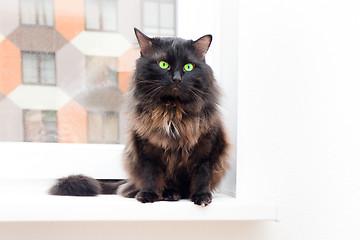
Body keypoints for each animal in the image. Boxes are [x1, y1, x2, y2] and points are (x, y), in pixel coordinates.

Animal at [50, 28, 231, 206]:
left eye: (188, 66)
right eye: (163, 64)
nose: (176, 79)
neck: (171, 110)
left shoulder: (207, 147)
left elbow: (202, 175)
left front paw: (202, 196)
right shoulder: (147, 148)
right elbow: (151, 175)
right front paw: (149, 194)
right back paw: (170, 194)